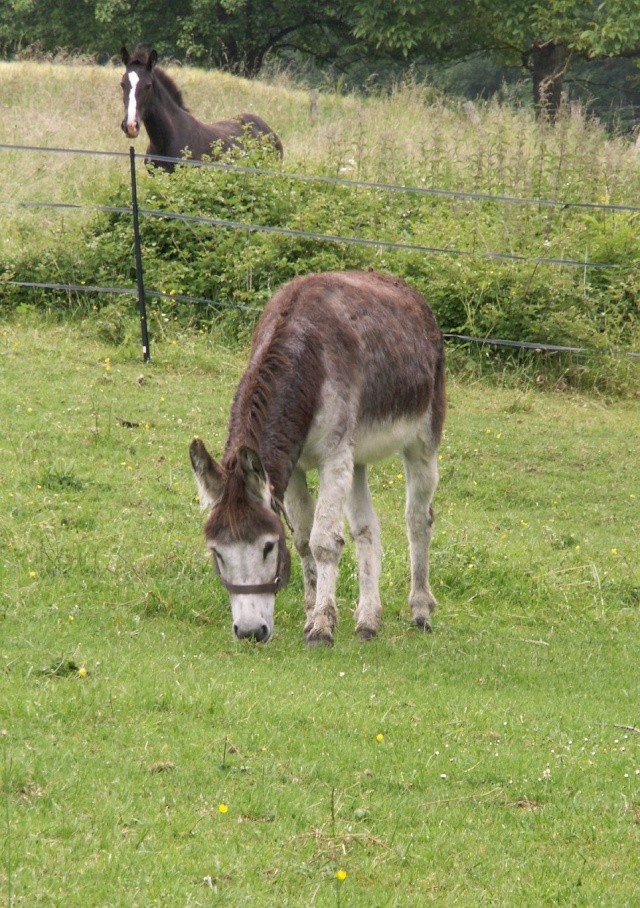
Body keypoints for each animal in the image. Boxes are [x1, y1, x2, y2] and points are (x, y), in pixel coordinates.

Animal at [190, 270, 444, 644]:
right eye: (217, 552)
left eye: (268, 547)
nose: (250, 633)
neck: (304, 357)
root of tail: (406, 289)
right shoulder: (292, 468)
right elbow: (303, 540)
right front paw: (312, 614)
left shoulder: (333, 457)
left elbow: (323, 541)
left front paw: (322, 627)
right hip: (357, 458)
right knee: (367, 529)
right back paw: (368, 620)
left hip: (422, 439)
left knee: (418, 520)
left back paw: (421, 610)